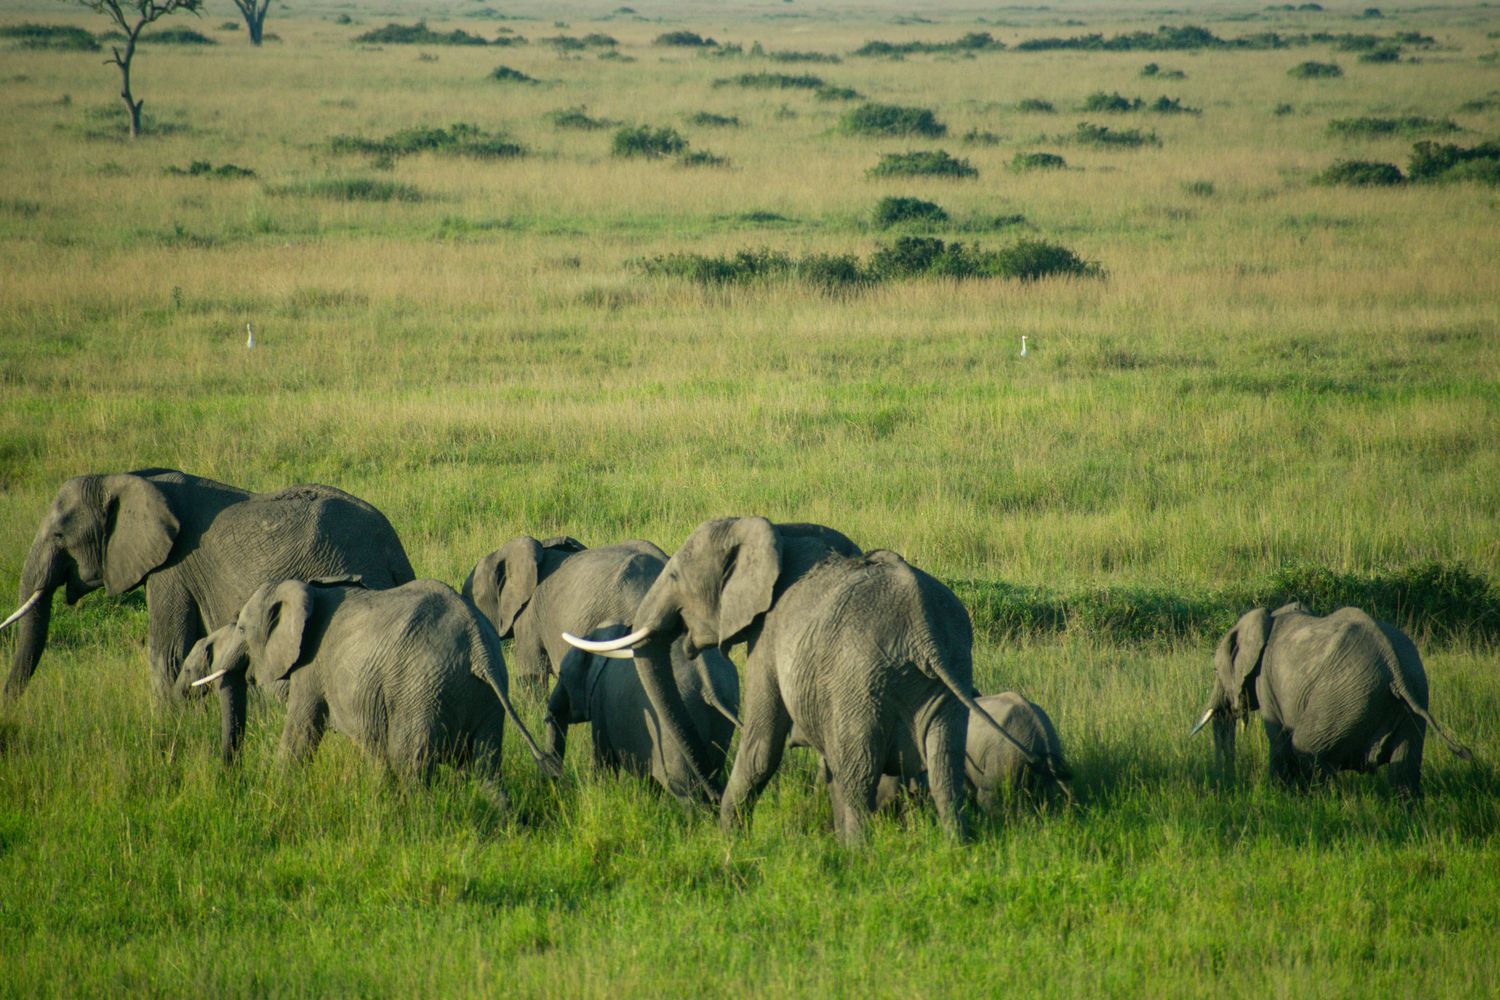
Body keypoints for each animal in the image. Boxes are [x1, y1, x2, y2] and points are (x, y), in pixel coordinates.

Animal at [1, 469, 414, 704]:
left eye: (59, 535)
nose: (10, 710)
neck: (124, 477)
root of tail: (393, 549)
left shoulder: (174, 568)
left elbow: (167, 654)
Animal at [181, 577, 560, 792]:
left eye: (242, 629)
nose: (231, 780)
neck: (307, 589)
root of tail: (478, 642)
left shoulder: (312, 668)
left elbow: (301, 732)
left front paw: (275, 792)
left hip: (421, 691)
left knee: (411, 763)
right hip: (482, 697)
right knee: (486, 768)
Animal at [545, 624, 740, 800]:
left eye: (561, 675)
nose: (555, 781)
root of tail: (707, 684)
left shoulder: (600, 700)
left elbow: (604, 760)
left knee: (688, 792)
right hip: (724, 712)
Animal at [1191, 602, 1473, 798]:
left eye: (1215, 670)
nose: (1226, 776)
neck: (1268, 616)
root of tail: (1395, 667)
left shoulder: (1266, 680)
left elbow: (1278, 738)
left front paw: (1277, 796)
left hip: (1344, 701)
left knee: (1307, 748)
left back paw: (1325, 802)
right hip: (1411, 702)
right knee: (1403, 771)